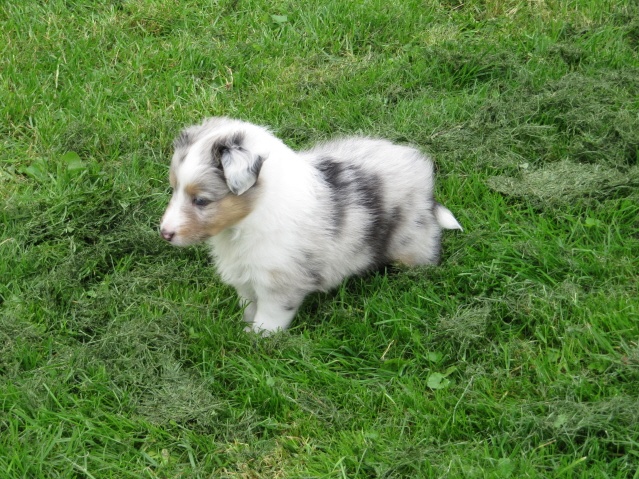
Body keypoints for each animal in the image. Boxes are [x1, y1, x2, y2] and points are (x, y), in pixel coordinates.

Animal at [160, 117, 462, 334]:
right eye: (173, 189)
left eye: (201, 200)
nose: (164, 234)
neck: (250, 218)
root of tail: (423, 173)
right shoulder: (245, 278)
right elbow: (248, 306)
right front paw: (242, 327)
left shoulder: (279, 285)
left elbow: (267, 321)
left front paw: (255, 342)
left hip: (412, 240)